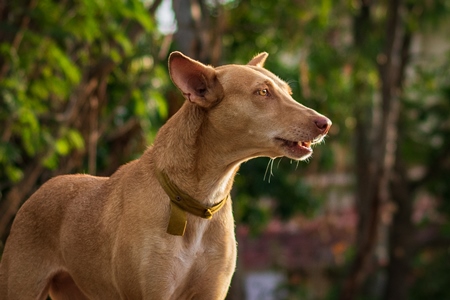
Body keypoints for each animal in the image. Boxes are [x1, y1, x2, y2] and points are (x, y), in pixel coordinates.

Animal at [0, 50, 330, 298]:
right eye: (262, 92)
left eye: (288, 92)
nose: (325, 123)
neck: (196, 202)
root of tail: (41, 189)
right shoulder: (151, 291)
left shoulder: (211, 292)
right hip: (21, 287)